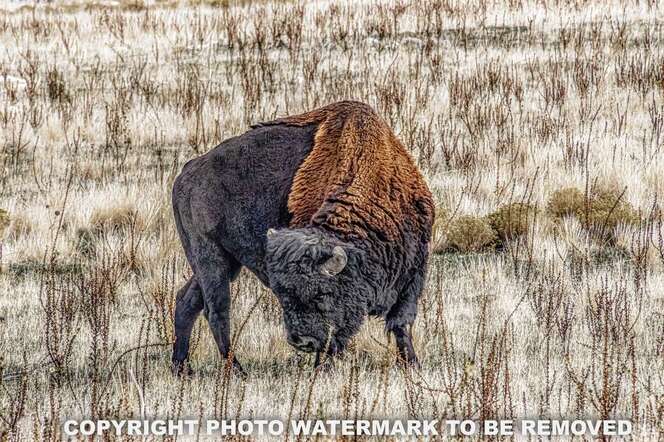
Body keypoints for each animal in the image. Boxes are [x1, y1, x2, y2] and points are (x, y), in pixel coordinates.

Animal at [171, 101, 434, 375]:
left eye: (322, 295)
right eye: (284, 296)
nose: (302, 342)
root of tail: (186, 173)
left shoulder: (414, 271)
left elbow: (401, 323)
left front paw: (412, 364)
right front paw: (323, 367)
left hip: (227, 260)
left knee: (187, 300)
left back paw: (181, 367)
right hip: (210, 255)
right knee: (217, 310)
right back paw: (236, 370)